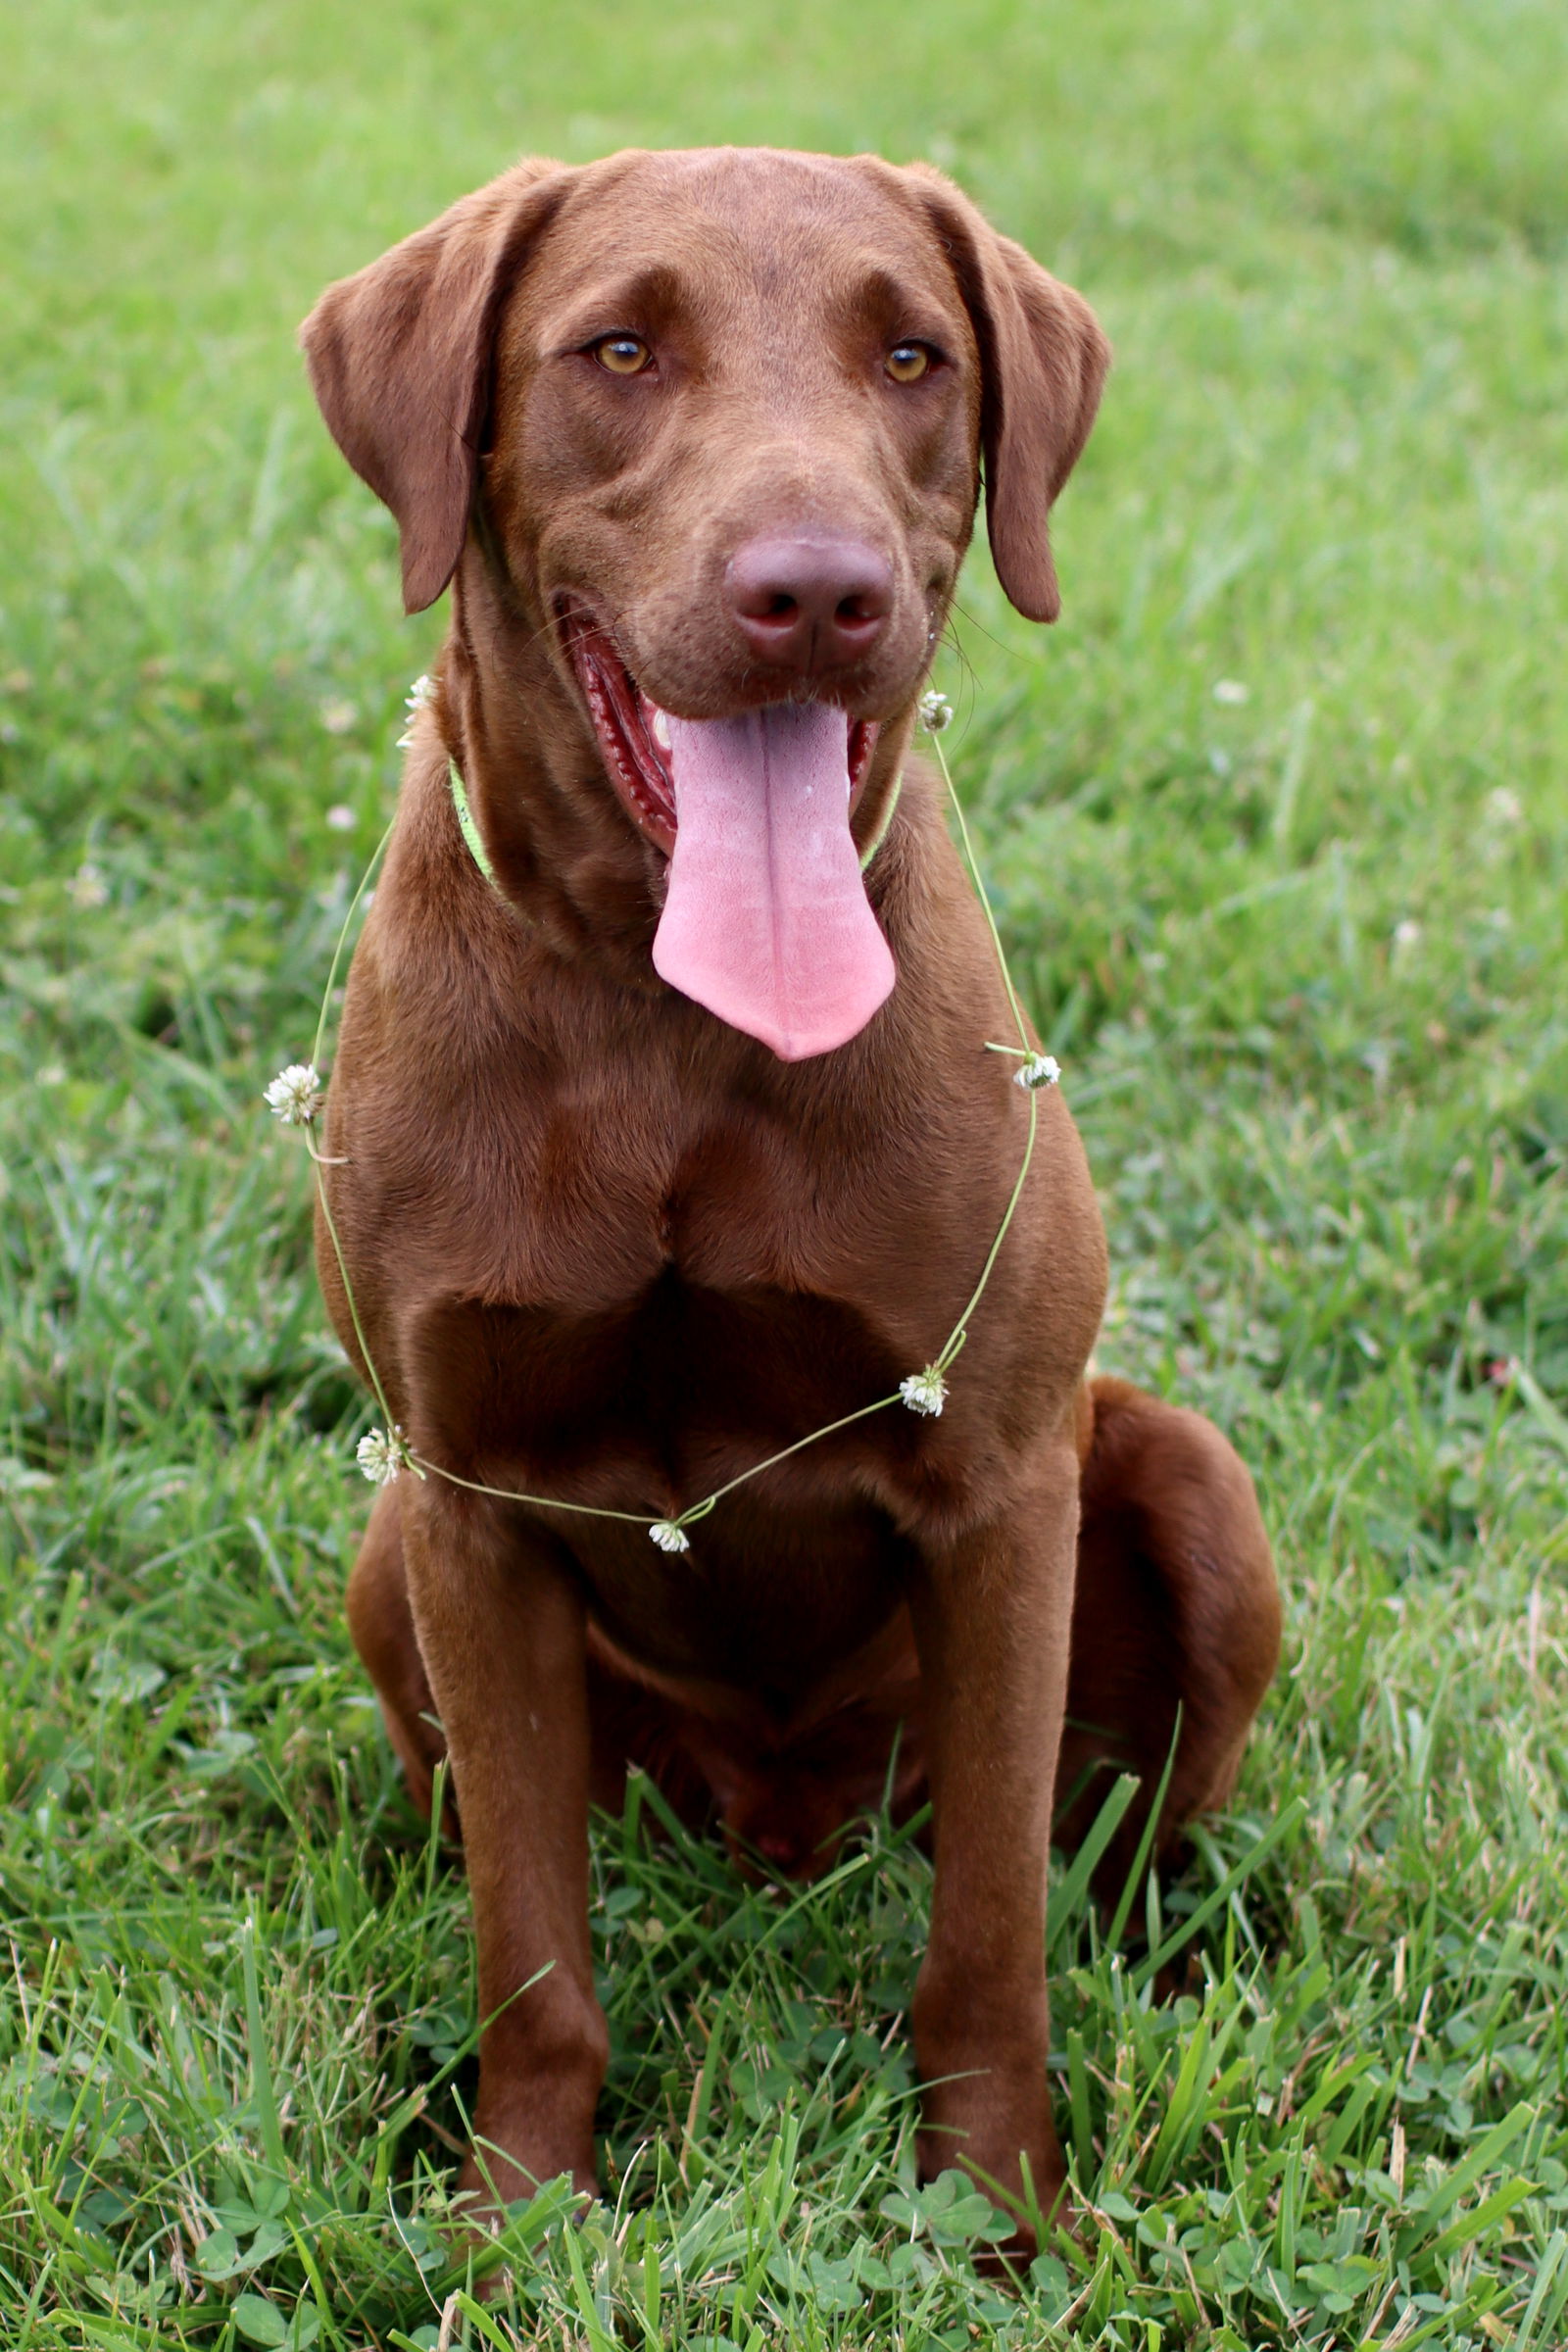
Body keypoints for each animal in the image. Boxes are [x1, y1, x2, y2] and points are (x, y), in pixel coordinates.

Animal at [301, 147, 1278, 2238]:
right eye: (617, 349)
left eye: (912, 355)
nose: (818, 592)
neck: (667, 1011)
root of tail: (784, 1818)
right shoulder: (470, 1506)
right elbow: (534, 1948)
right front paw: (519, 2219)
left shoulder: (1000, 1492)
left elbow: (987, 1937)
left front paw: (996, 2219)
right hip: (385, 1559)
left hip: (1191, 1486)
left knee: (1111, 1844)